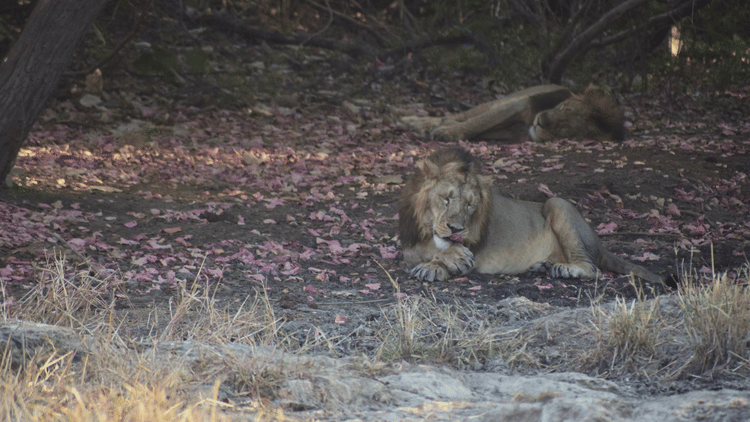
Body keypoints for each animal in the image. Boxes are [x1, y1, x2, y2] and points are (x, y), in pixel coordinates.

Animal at [398, 147, 665, 287]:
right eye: (446, 199)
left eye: (470, 206)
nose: (456, 228)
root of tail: (600, 244)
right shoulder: (408, 247)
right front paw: (443, 260)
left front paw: (440, 264)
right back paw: (544, 266)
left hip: (556, 203)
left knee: (592, 269)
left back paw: (563, 269)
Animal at [400, 85, 625, 143]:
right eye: (563, 108)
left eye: (564, 127)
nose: (541, 121)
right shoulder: (518, 105)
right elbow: (477, 122)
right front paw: (446, 133)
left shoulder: (512, 132)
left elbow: (479, 127)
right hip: (506, 99)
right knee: (458, 115)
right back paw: (412, 121)